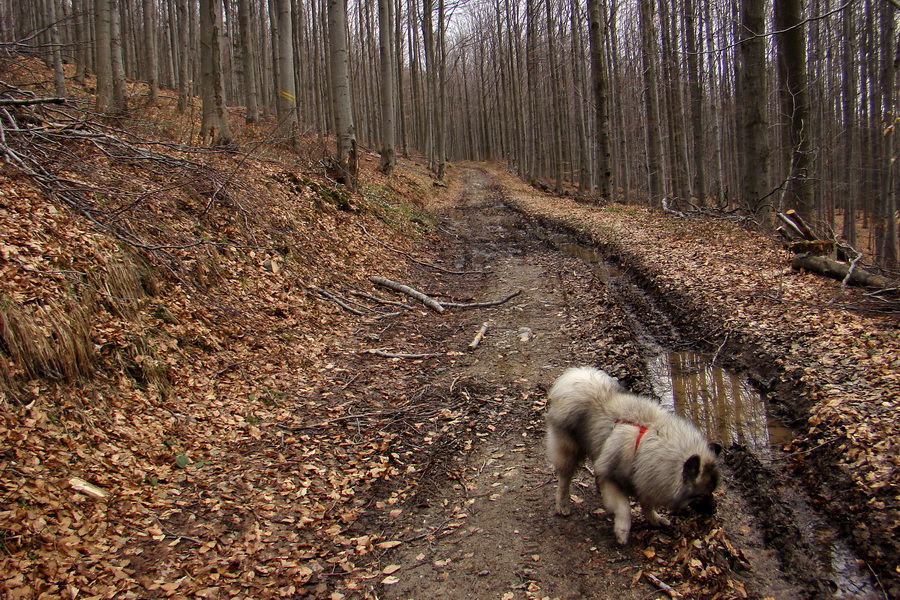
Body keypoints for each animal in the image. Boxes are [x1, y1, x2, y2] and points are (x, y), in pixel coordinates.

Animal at [540, 366, 724, 544]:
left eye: (712, 491)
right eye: (701, 495)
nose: (714, 509)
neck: (652, 443)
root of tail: (574, 381)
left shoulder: (645, 478)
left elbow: (647, 504)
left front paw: (654, 518)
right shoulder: (613, 478)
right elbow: (624, 508)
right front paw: (622, 531)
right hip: (568, 451)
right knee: (564, 479)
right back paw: (563, 504)